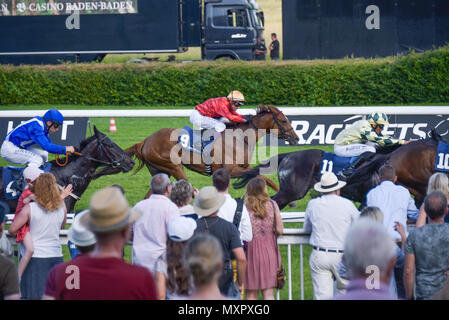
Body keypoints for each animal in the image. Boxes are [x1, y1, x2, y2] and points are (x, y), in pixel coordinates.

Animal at [125, 105, 298, 198]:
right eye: (283, 120)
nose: (295, 138)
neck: (240, 138)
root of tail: (146, 140)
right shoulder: (231, 170)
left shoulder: (243, 167)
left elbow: (263, 177)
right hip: (174, 167)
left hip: (160, 171)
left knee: (149, 196)